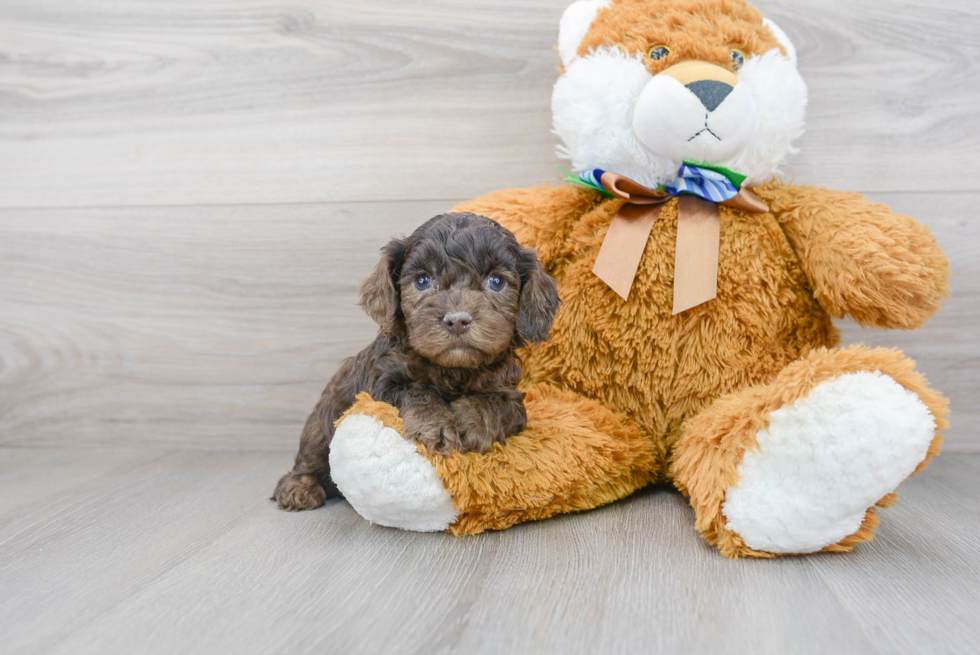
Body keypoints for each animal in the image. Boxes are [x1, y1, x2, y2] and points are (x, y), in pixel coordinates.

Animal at [274, 213, 560, 510]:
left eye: (496, 281)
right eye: (423, 280)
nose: (457, 320)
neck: (453, 370)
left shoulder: (509, 393)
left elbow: (496, 402)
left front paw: (474, 422)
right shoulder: (380, 384)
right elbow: (416, 391)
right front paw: (436, 427)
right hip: (323, 420)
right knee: (312, 454)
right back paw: (299, 487)